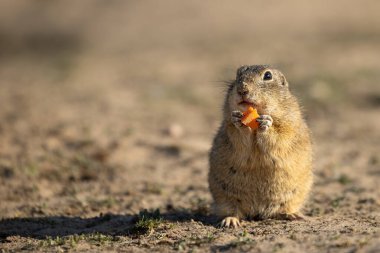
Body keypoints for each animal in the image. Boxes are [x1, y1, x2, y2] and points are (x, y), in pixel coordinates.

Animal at [208, 64, 312, 227]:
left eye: (268, 76)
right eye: (238, 74)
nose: (242, 89)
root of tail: (258, 211)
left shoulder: (289, 123)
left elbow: (281, 134)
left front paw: (266, 123)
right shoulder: (227, 127)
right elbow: (236, 134)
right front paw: (239, 121)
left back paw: (292, 214)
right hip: (223, 196)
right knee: (233, 210)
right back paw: (230, 221)